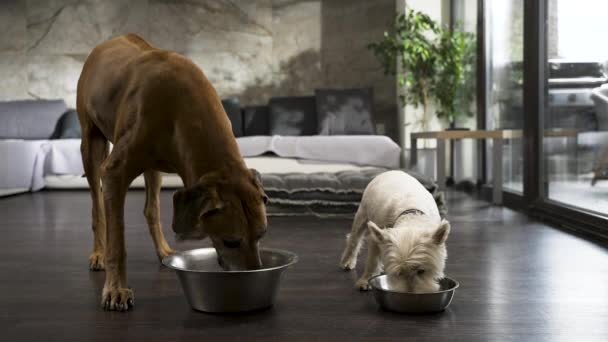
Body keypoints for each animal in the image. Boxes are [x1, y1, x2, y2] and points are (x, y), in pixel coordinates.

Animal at [77, 33, 268, 312]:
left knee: (151, 208)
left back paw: (164, 251)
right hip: (91, 144)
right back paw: (98, 253)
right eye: (231, 241)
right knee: (97, 206)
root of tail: (109, 41)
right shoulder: (113, 172)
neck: (184, 107)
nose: (253, 279)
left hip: (153, 167)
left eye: (261, 234)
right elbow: (118, 243)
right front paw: (115, 289)